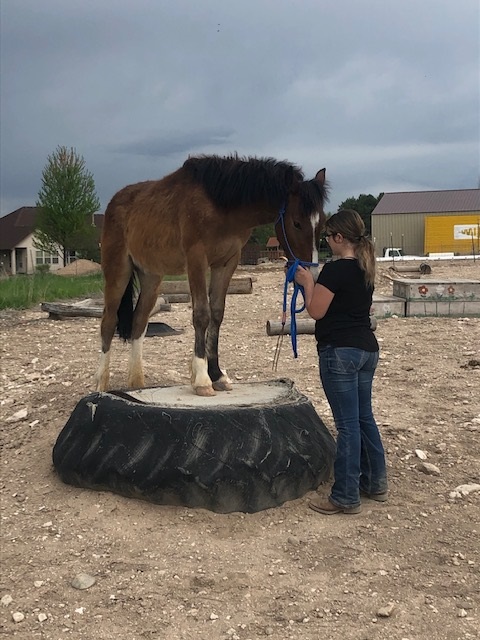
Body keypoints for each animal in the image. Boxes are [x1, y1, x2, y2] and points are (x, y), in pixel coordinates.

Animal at [94, 155, 328, 396]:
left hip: (151, 277)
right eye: (297, 223)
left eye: (322, 223)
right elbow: (201, 315)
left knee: (139, 321)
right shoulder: (197, 259)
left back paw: (137, 382)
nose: (311, 275)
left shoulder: (227, 263)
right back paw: (101, 383)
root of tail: (113, 204)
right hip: (117, 271)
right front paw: (202, 379)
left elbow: (216, 314)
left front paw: (216, 374)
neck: (220, 205)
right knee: (108, 322)